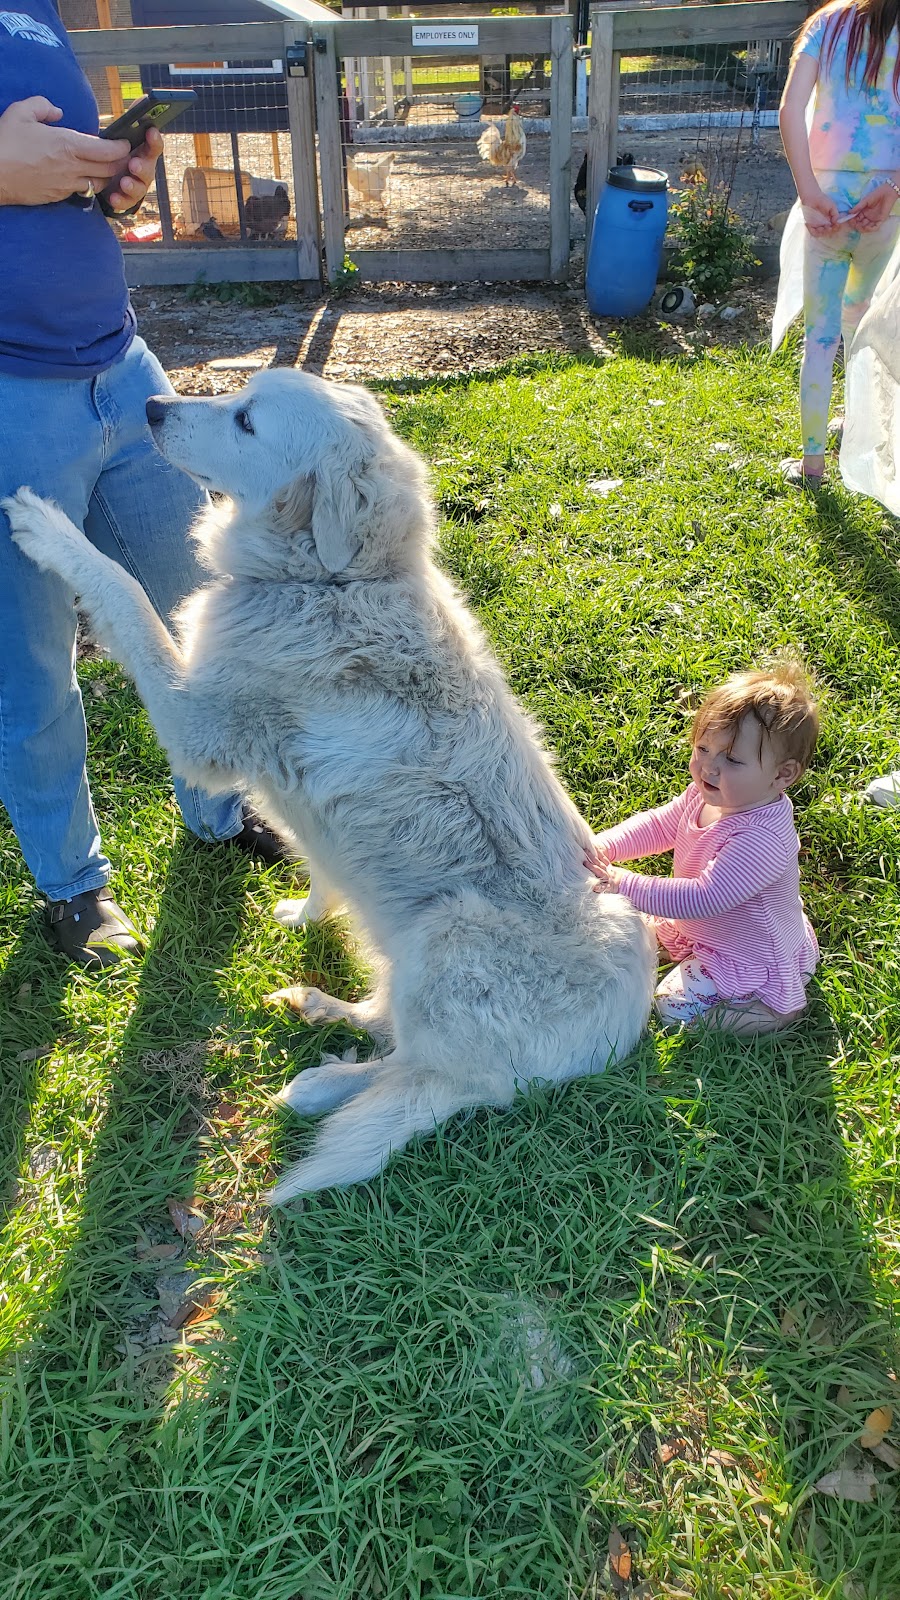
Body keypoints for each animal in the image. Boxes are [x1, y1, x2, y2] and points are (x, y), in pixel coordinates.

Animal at [3, 371, 656, 1203]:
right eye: (236, 398)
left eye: (246, 422)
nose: (151, 408)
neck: (330, 581)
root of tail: (621, 1037)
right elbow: (320, 868)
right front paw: (306, 913)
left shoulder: (192, 722)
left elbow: (124, 593)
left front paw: (48, 530)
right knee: (393, 1034)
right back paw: (317, 1010)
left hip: (447, 940)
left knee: (441, 1080)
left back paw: (319, 1088)